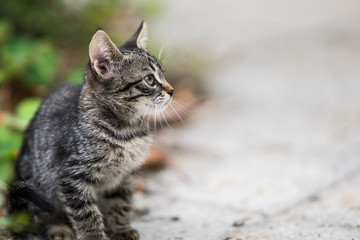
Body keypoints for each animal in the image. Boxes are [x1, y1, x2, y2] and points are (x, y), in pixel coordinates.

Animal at [7, 21, 173, 239]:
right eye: (150, 79)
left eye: (163, 74)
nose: (172, 91)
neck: (127, 129)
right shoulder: (71, 177)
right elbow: (86, 214)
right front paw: (95, 235)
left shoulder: (124, 176)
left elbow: (121, 203)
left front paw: (120, 229)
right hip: (38, 182)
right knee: (41, 215)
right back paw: (58, 228)